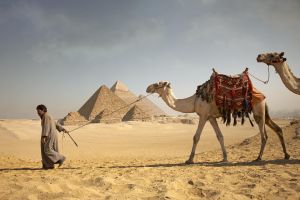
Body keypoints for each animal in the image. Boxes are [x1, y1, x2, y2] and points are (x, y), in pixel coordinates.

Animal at [146, 72, 290, 163]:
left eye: (158, 83)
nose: (148, 88)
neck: (194, 101)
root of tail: (262, 95)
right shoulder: (211, 117)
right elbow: (220, 136)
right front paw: (225, 158)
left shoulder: (203, 115)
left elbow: (196, 137)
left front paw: (189, 160)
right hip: (262, 111)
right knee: (277, 129)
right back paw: (286, 155)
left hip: (258, 110)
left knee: (264, 135)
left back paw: (259, 158)